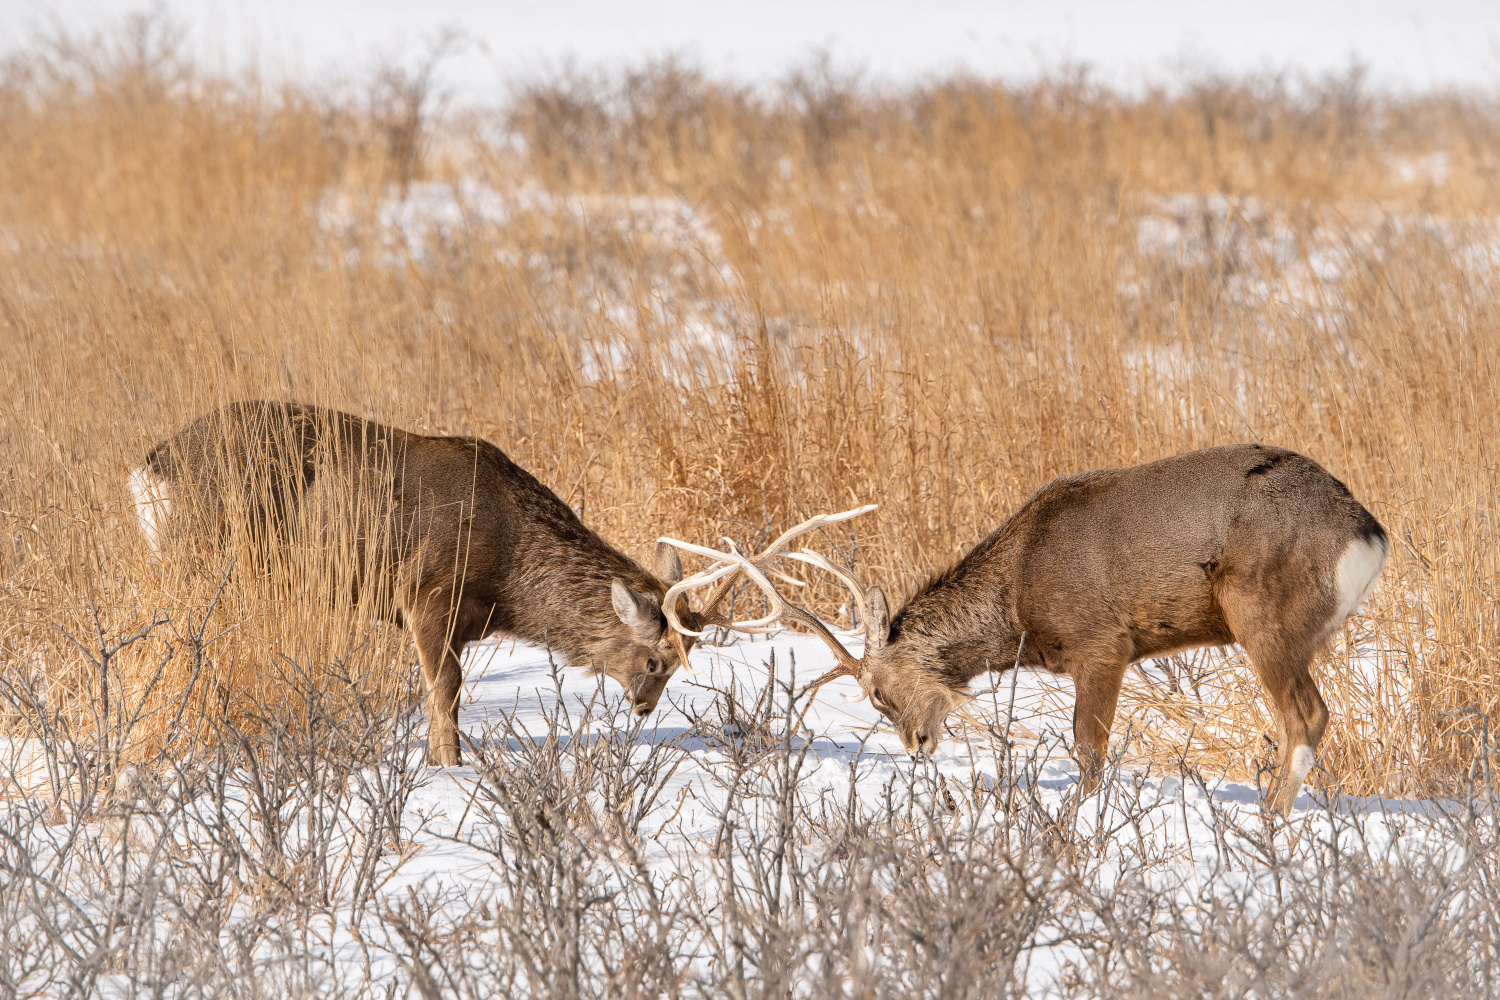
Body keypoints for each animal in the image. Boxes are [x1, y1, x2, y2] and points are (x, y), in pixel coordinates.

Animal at [663, 446, 1386, 815]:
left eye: (879, 695)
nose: (917, 742)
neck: (1018, 601)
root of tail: (1367, 533)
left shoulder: (1103, 642)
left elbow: (1088, 752)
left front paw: (1078, 823)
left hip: (1262, 612)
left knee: (1306, 715)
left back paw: (1269, 823)